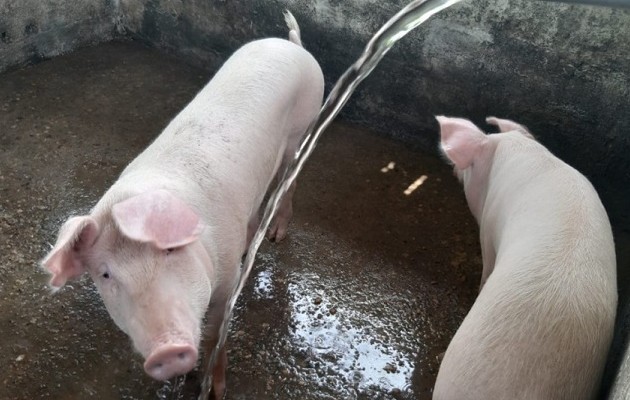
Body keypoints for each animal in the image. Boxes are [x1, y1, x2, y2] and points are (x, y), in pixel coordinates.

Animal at [40, 10, 326, 398]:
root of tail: (293, 46)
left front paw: (215, 390)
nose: (167, 350)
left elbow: (216, 333)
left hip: (304, 126)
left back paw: (275, 236)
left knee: (290, 179)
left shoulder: (223, 283)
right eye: (105, 274)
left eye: (171, 250)